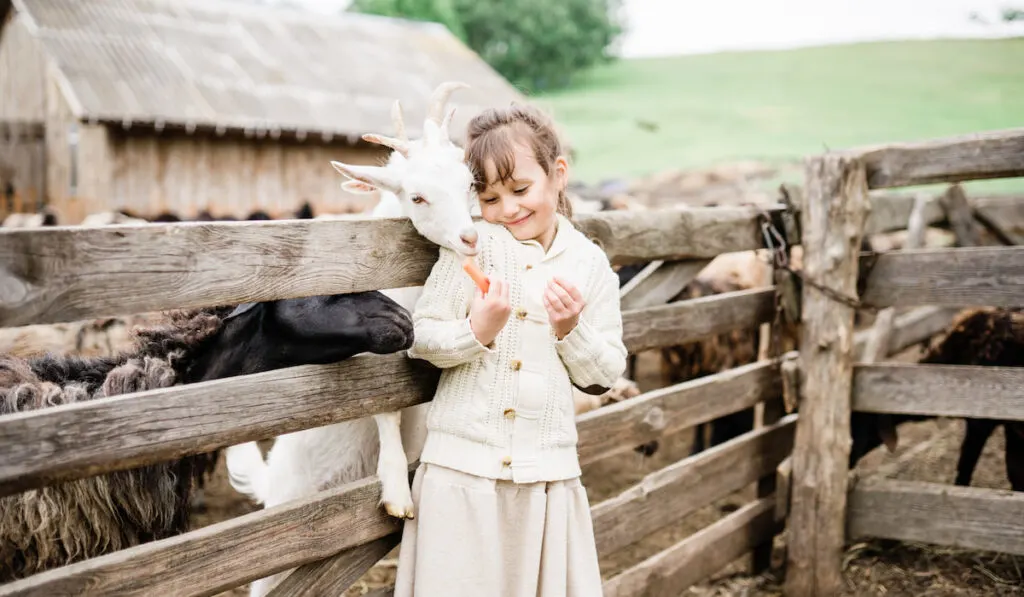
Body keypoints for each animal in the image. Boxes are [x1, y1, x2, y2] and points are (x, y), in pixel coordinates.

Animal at [224, 81, 479, 593]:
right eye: (417, 197)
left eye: (469, 183)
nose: (470, 238)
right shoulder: (378, 350)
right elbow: (383, 405)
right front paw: (397, 490)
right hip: (287, 514)